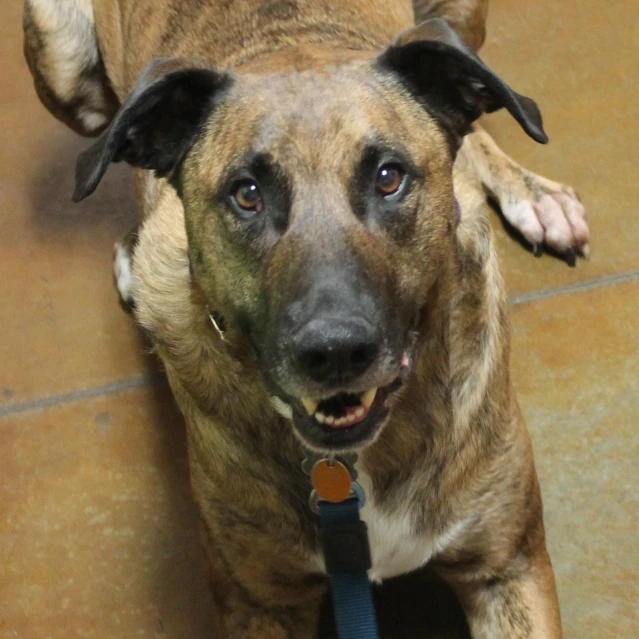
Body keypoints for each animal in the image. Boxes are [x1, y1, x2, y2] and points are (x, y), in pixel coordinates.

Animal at [22, 2, 592, 636]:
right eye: (246, 193)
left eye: (389, 177)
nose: (336, 352)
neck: (349, 468)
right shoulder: (259, 602)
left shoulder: (508, 565)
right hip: (61, 59)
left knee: (472, 126)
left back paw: (534, 194)